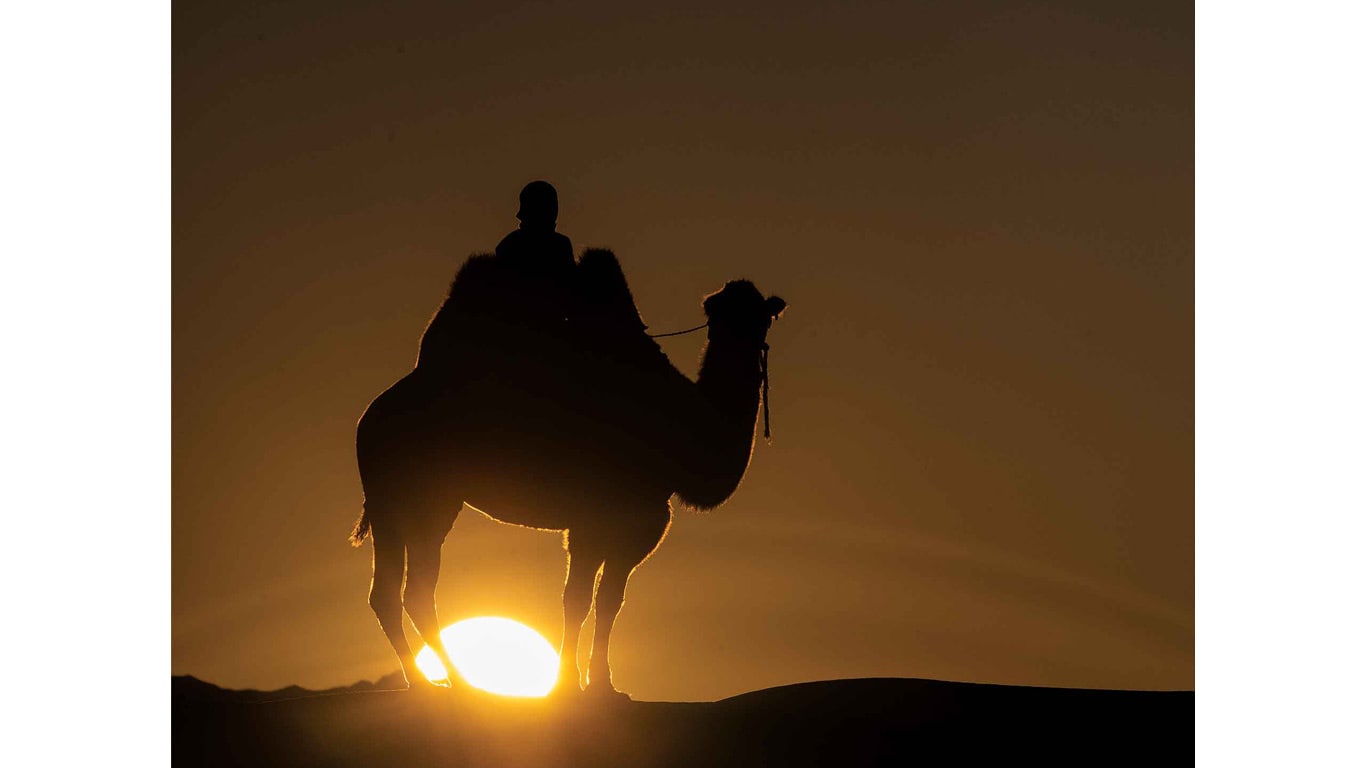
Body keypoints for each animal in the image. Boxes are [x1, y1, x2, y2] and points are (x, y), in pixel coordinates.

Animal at [351, 248, 785, 699]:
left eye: (764, 315)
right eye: (717, 310)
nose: (744, 334)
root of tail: (369, 419)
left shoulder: (641, 522)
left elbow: (609, 600)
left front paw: (603, 685)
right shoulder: (594, 520)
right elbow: (577, 599)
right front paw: (567, 686)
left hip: (413, 503)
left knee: (394, 591)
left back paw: (431, 681)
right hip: (415, 497)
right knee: (409, 590)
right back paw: (454, 683)